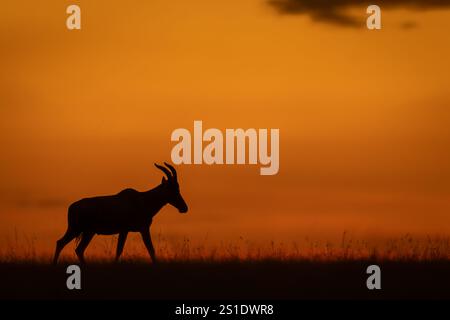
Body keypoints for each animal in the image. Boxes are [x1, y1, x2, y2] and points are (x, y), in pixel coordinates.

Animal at [52, 162, 188, 264]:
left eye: (178, 187)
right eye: (172, 188)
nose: (184, 208)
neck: (142, 199)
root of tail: (72, 207)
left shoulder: (138, 230)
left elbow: (149, 249)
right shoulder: (131, 229)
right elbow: (126, 250)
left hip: (88, 232)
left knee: (78, 249)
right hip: (76, 229)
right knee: (61, 243)